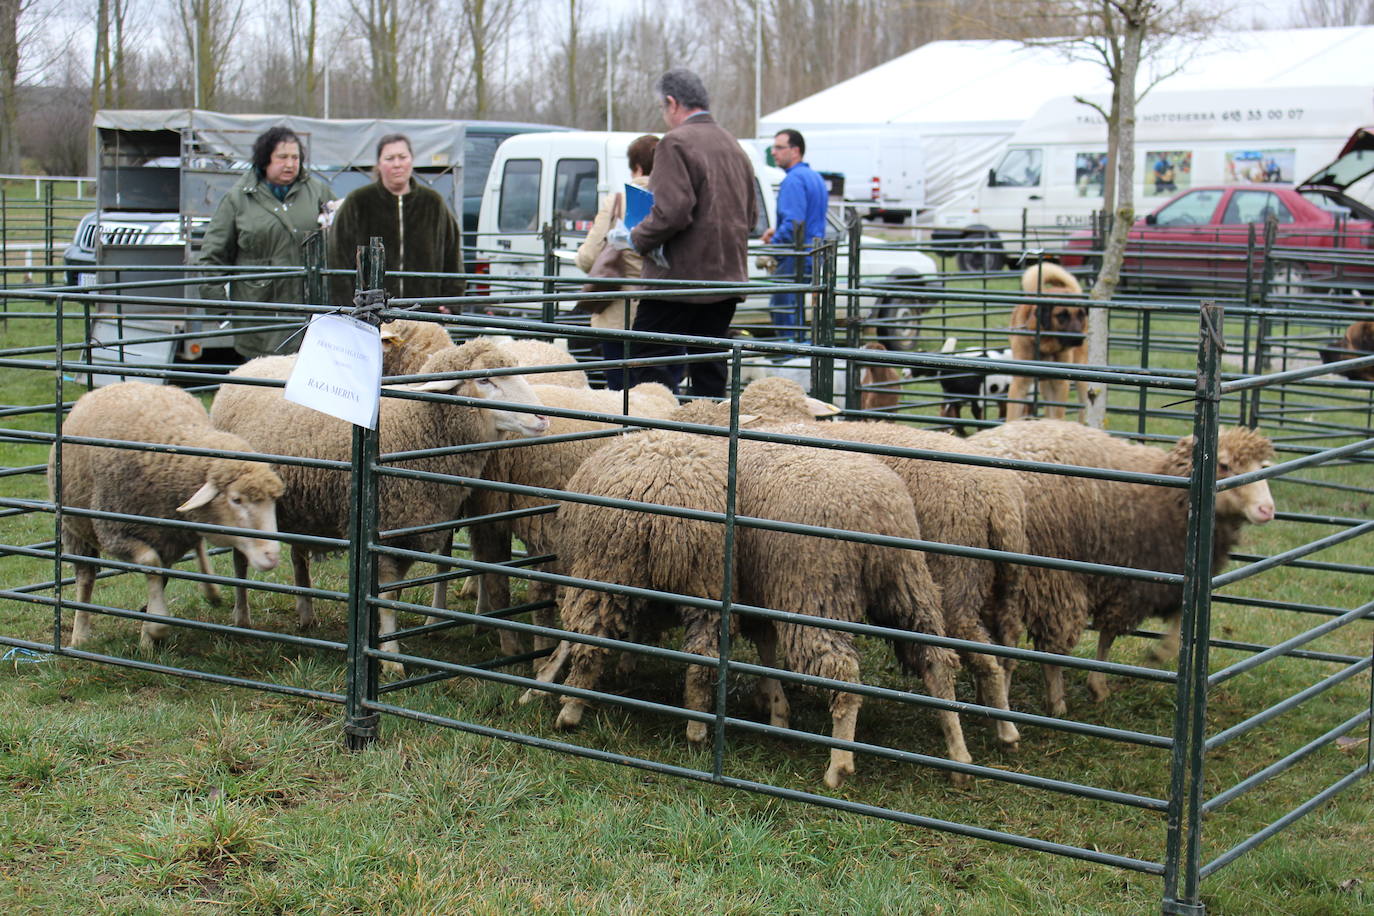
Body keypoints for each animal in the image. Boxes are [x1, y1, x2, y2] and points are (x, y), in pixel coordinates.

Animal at [49, 384, 284, 648]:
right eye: (236, 500)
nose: (272, 556)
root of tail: (110, 387)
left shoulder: (170, 537)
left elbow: (161, 573)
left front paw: (149, 634)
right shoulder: (114, 531)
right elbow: (151, 563)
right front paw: (156, 628)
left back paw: (209, 590)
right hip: (74, 530)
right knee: (86, 577)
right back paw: (79, 635)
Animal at [208, 340, 546, 678]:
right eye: (485, 380)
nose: (542, 418)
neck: (415, 426)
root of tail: (250, 364)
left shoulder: (405, 534)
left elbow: (391, 595)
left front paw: (380, 642)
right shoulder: (383, 529)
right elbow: (388, 596)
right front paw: (392, 661)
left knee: (298, 555)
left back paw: (306, 613)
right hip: (243, 504)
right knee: (240, 559)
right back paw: (242, 618)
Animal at [535, 403, 967, 791]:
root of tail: (873, 512)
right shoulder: (755, 591)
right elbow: (766, 648)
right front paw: (774, 706)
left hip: (811, 591)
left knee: (842, 673)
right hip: (905, 583)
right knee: (937, 661)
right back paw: (958, 754)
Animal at [967, 420, 1275, 714]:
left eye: (1262, 468)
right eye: (1224, 465)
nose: (1267, 510)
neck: (1171, 498)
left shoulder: (1166, 574)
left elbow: (1179, 622)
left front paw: (1158, 654)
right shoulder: (1134, 581)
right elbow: (1109, 636)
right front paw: (1098, 685)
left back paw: (988, 696)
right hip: (1045, 579)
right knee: (1034, 644)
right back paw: (1045, 704)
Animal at [1005, 260, 1088, 422]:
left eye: (1081, 315)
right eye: (1062, 315)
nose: (1078, 339)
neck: (1044, 344)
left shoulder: (1060, 383)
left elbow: (1058, 413)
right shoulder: (1019, 383)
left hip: (1081, 380)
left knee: (1083, 409)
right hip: (1045, 385)